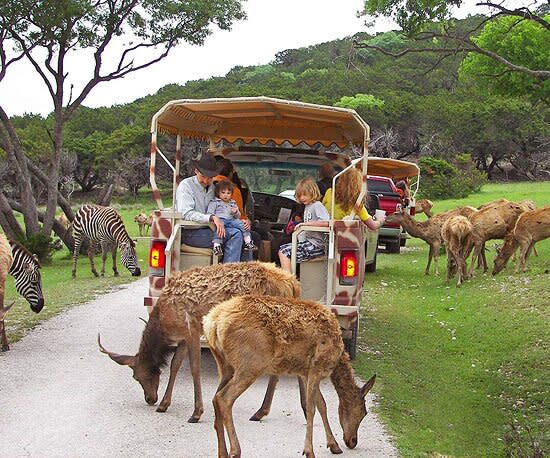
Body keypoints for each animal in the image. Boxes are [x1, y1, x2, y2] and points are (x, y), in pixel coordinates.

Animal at [205, 294, 378, 458]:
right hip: (250, 364)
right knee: (224, 398)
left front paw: (334, 445)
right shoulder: (316, 368)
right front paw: (309, 451)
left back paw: (222, 452)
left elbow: (322, 405)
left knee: (215, 398)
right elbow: (312, 408)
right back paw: (235, 450)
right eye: (363, 412)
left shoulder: (305, 372)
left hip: (225, 366)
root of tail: (212, 323)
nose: (352, 441)